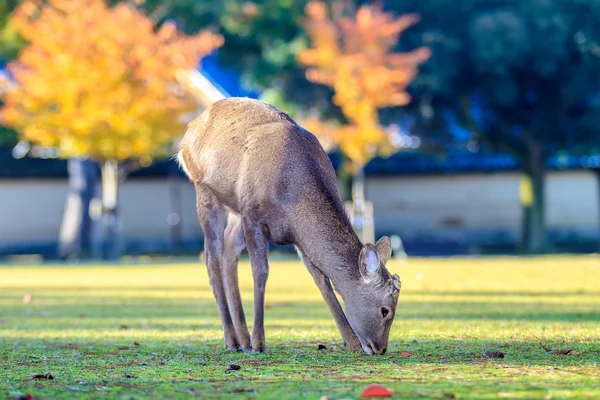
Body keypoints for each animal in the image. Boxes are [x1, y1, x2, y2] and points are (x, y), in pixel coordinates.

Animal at [178, 97, 404, 354]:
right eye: (385, 310)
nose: (380, 348)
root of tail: (189, 131)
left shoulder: (299, 237)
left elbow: (322, 281)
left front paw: (351, 341)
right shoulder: (252, 215)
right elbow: (261, 272)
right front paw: (259, 343)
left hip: (235, 208)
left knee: (227, 251)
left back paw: (242, 338)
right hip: (204, 190)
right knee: (211, 256)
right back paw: (233, 340)